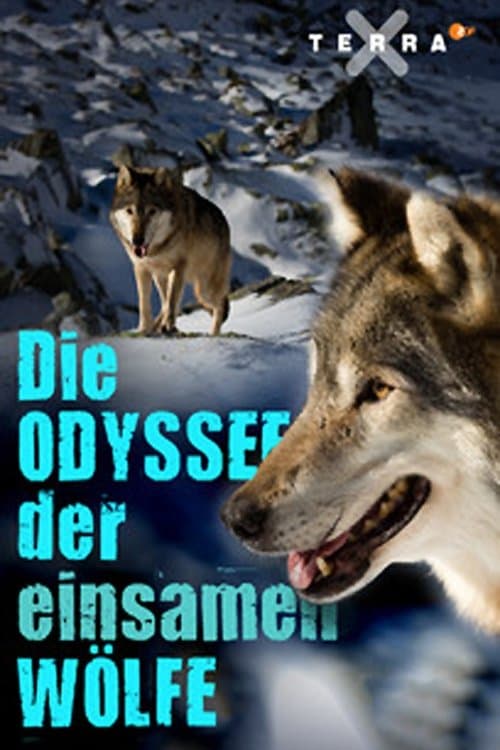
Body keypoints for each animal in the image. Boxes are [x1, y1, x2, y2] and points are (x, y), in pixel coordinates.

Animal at [110, 165, 231, 335]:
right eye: (129, 211)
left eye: (151, 211)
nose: (137, 240)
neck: (156, 250)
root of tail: (224, 220)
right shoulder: (141, 268)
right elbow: (145, 302)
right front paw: (144, 329)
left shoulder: (178, 267)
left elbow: (172, 299)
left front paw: (167, 326)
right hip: (162, 278)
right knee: (165, 303)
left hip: (205, 289)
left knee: (220, 305)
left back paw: (213, 334)